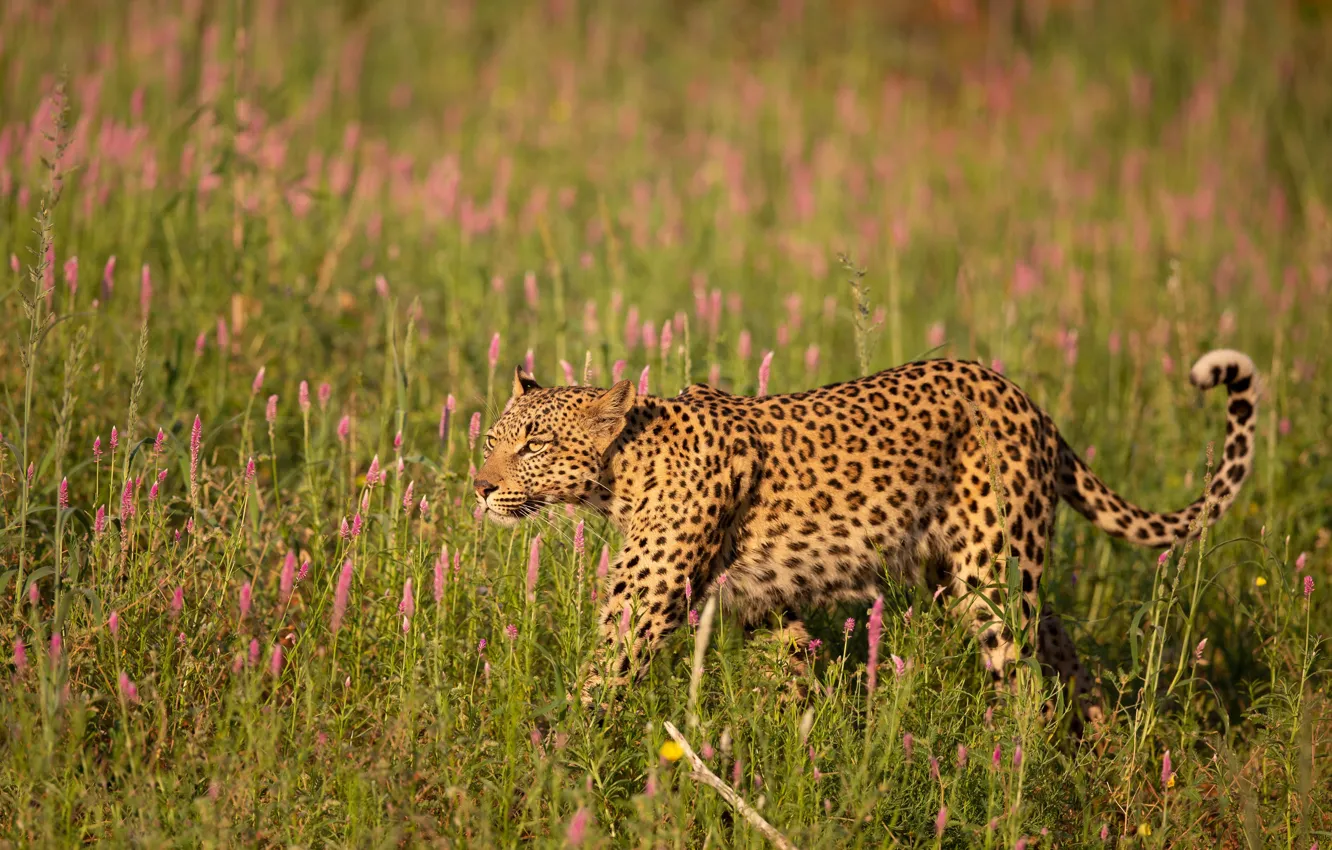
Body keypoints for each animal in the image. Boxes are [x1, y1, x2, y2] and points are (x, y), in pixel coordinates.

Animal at [473, 348, 1258, 734]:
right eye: (491, 440)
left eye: (533, 444)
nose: (479, 487)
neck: (623, 474)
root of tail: (1029, 403)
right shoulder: (763, 608)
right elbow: (793, 683)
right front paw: (802, 762)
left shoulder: (643, 608)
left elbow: (596, 685)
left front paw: (556, 766)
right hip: (973, 573)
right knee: (1062, 653)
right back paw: (1098, 754)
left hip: (990, 580)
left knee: (1026, 678)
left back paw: (1011, 772)